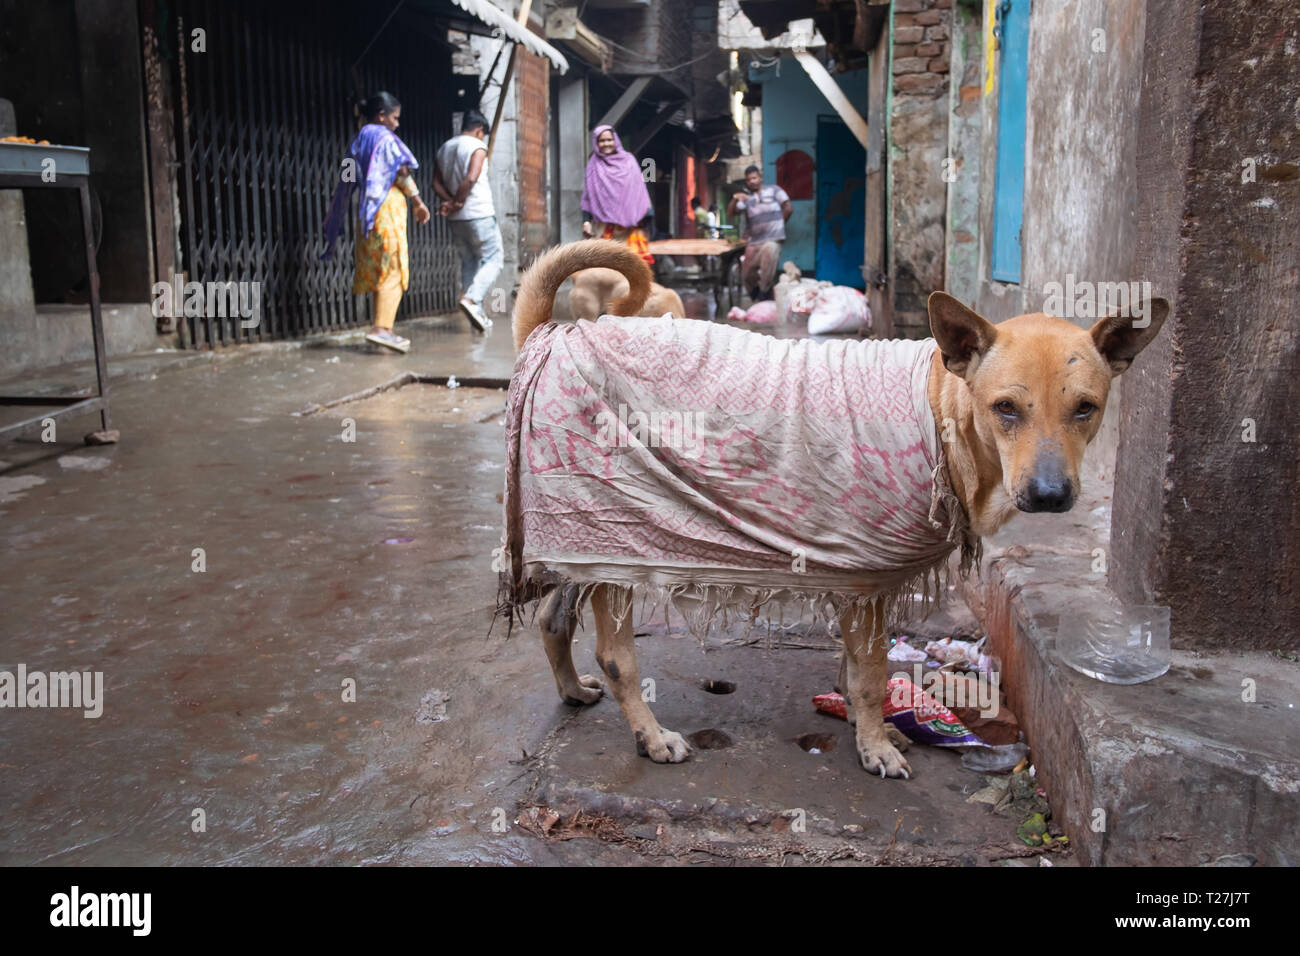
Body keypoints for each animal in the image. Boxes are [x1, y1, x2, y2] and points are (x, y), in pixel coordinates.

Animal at [506, 239, 1170, 780]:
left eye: (1086, 408)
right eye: (1006, 408)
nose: (1051, 496)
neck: (941, 405)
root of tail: (552, 335)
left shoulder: (860, 586)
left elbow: (855, 671)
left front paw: (859, 721)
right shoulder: (868, 583)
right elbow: (872, 677)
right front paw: (875, 743)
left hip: (580, 538)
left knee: (552, 620)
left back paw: (572, 689)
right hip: (611, 543)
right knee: (617, 658)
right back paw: (650, 736)